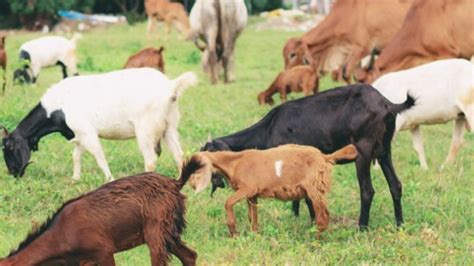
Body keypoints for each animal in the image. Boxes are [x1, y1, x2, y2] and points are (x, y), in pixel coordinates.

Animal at [0, 160, 202, 266]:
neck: (61, 235)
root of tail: (175, 184)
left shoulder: (104, 252)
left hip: (156, 231)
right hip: (169, 231)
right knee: (190, 255)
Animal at [187, 144, 358, 238]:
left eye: (195, 167)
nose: (191, 185)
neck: (234, 163)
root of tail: (325, 157)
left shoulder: (247, 188)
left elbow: (228, 202)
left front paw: (233, 231)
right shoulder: (252, 195)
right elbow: (252, 217)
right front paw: (254, 235)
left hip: (314, 189)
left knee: (323, 217)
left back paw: (316, 241)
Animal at [203, 84, 414, 230]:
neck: (268, 128)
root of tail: (387, 104)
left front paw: (312, 221)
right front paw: (296, 216)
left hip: (363, 150)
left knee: (367, 190)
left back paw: (362, 227)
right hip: (384, 150)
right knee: (396, 185)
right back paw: (400, 224)